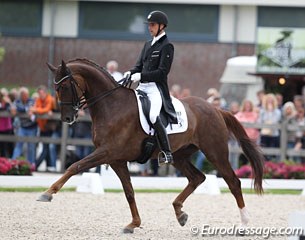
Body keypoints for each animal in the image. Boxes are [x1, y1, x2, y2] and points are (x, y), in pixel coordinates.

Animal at [38, 59, 264, 233]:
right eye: (55, 88)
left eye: (64, 87)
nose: (67, 118)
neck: (111, 105)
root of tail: (216, 109)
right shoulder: (116, 159)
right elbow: (129, 192)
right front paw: (133, 223)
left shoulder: (106, 152)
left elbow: (74, 166)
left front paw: (47, 193)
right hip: (179, 155)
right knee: (197, 177)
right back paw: (179, 212)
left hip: (215, 152)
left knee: (233, 182)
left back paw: (244, 224)